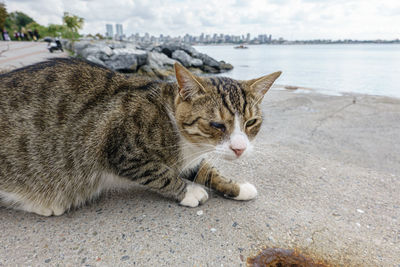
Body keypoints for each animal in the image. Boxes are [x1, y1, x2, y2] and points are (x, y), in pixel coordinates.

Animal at [0, 58, 282, 218]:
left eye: (251, 123)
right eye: (216, 124)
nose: (240, 148)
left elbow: (206, 169)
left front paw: (236, 187)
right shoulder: (122, 150)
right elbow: (160, 173)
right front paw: (189, 191)